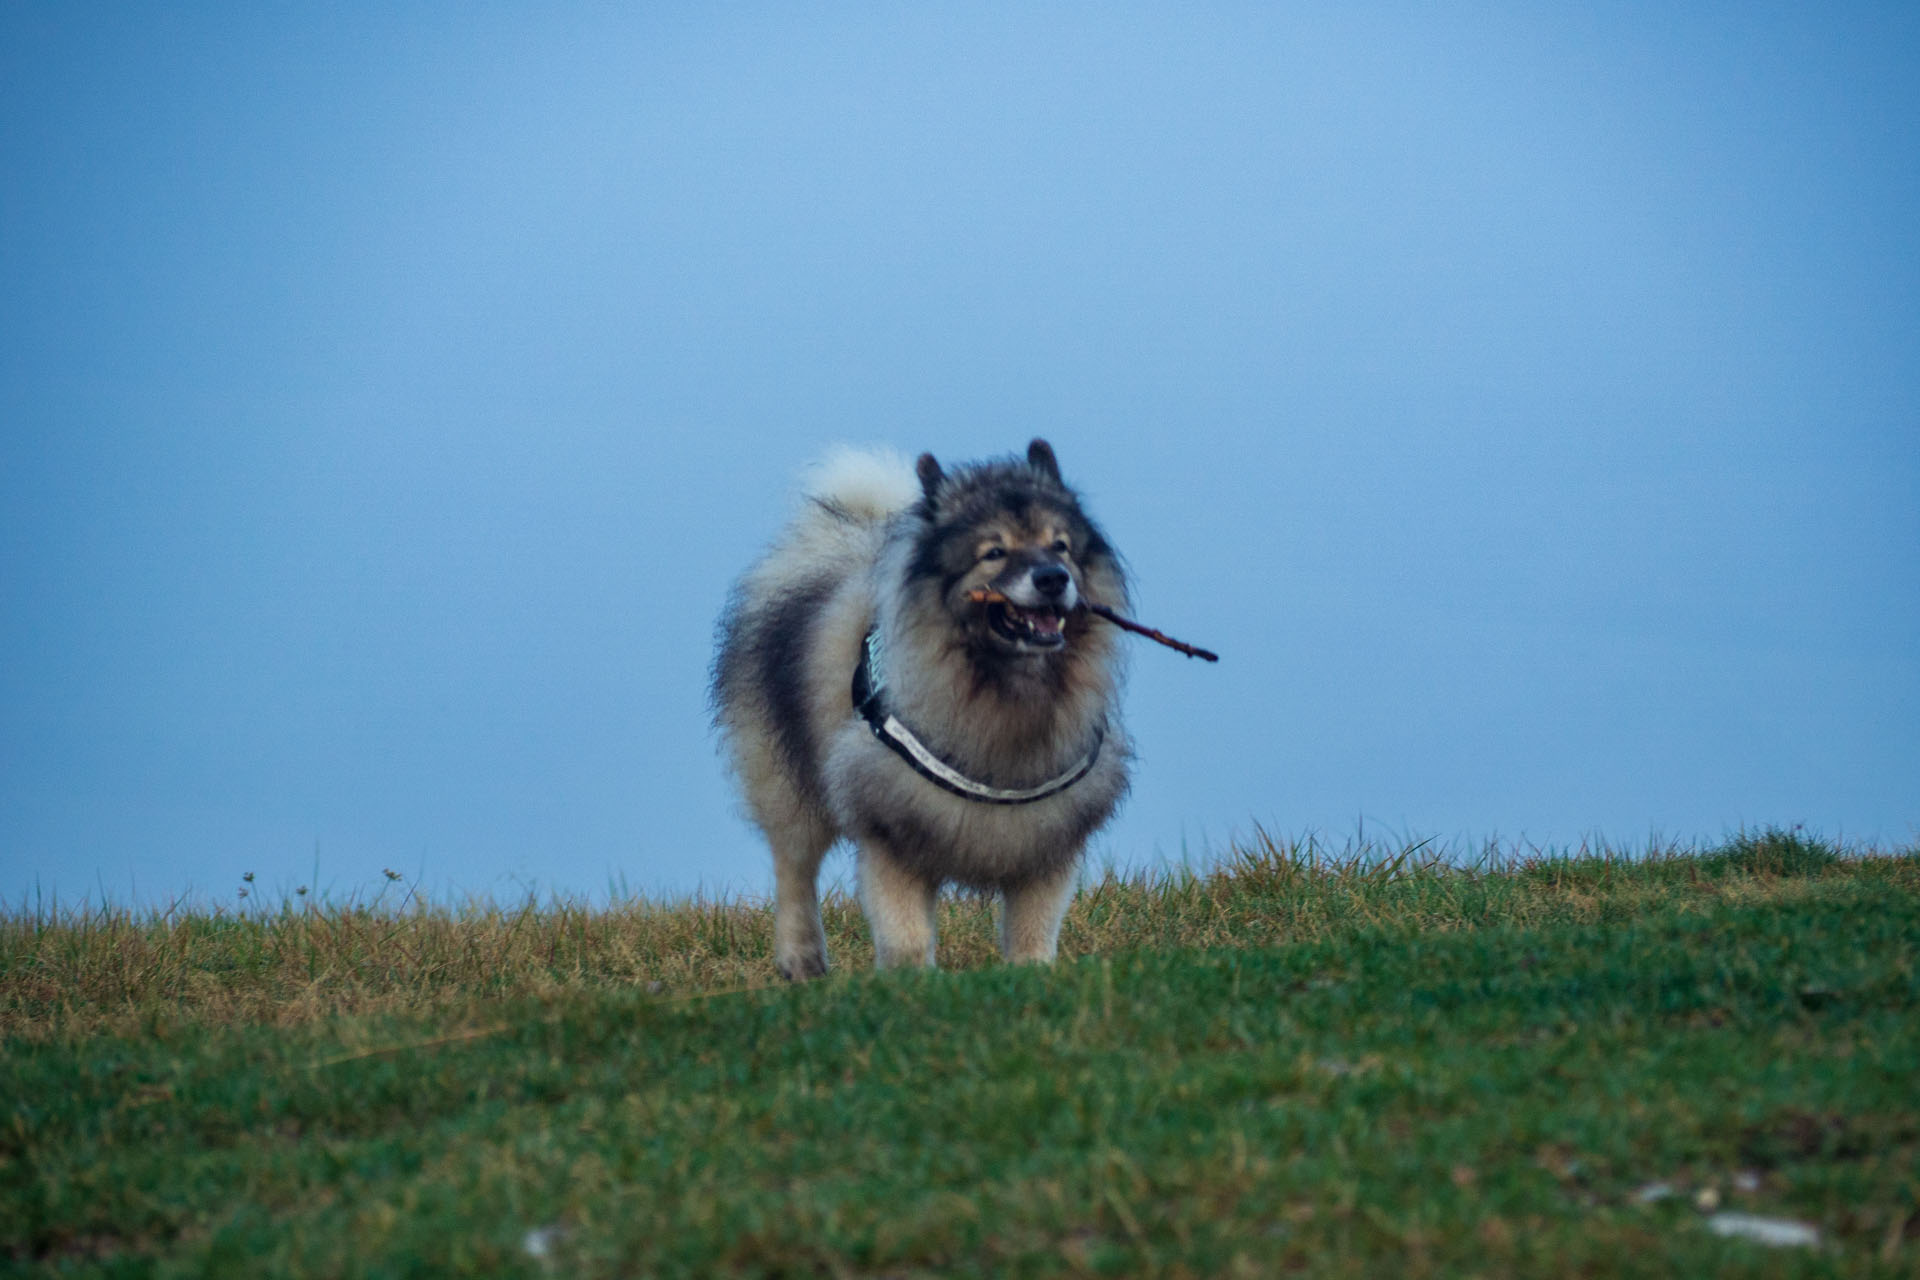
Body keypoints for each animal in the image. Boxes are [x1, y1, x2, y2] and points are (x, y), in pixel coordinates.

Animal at [718, 441, 1128, 982]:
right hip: (787, 782)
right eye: (994, 552)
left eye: (1059, 546)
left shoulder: (1046, 842)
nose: (1052, 578)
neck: (1005, 687)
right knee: (794, 867)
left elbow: (1032, 931)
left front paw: (1033, 975)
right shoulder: (890, 832)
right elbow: (906, 934)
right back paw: (801, 959)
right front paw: (911, 984)